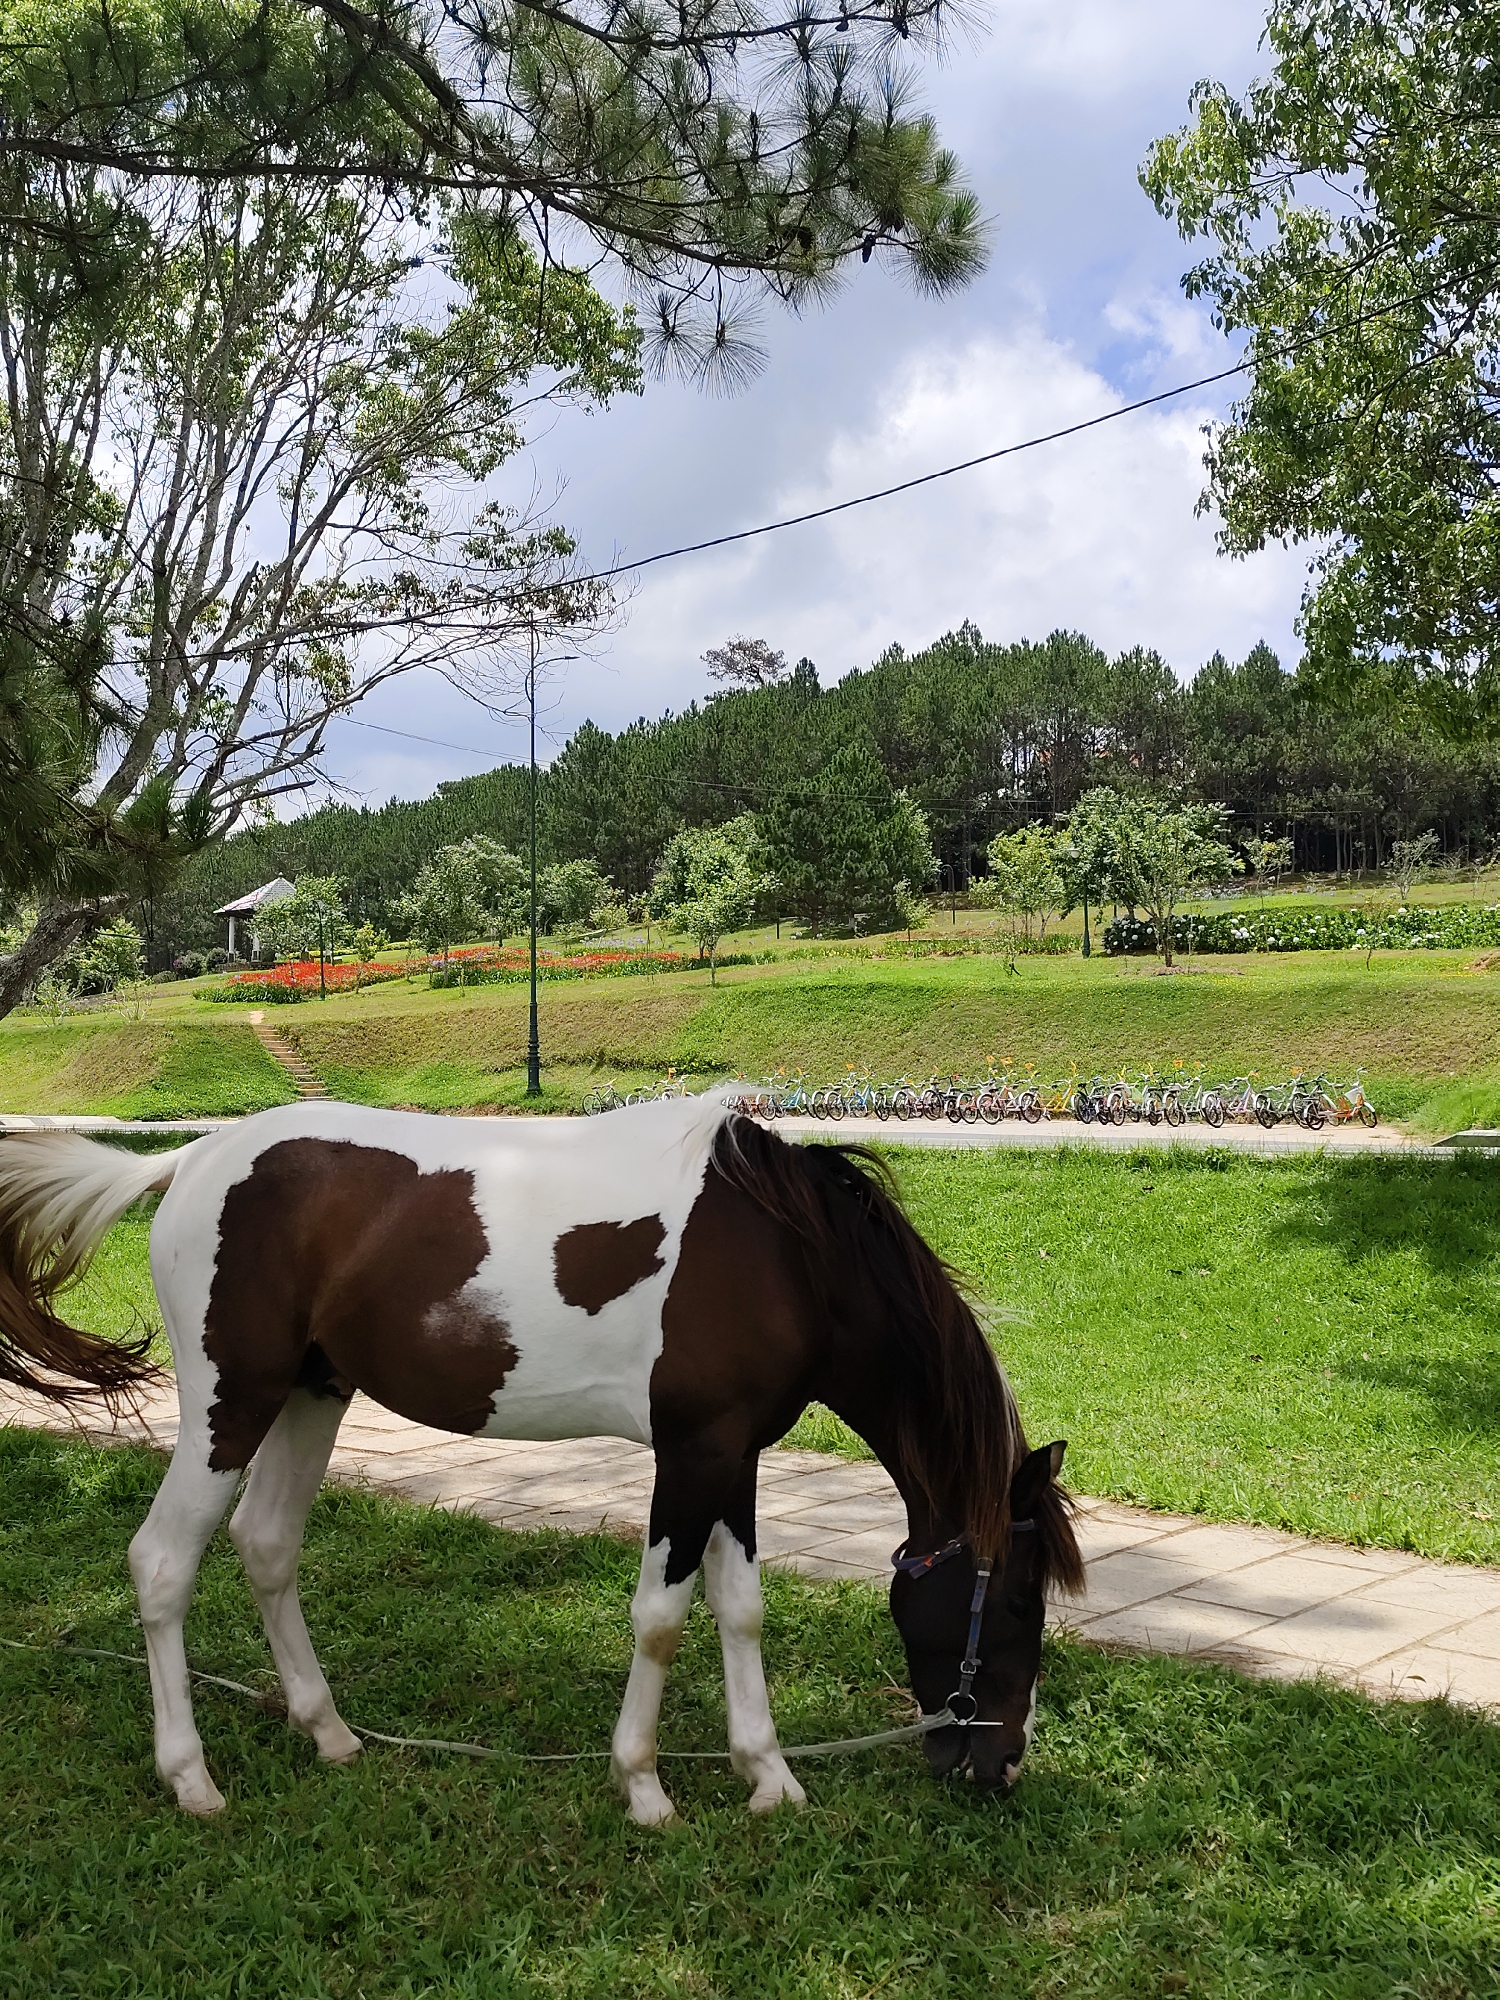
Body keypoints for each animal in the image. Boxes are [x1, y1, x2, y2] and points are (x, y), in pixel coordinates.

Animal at [0, 1092, 1083, 1823]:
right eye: (1016, 1604)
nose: (1002, 1763)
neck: (790, 1258)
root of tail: (190, 1160)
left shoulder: (732, 1456)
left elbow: (740, 1608)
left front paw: (767, 1775)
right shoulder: (691, 1455)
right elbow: (659, 1618)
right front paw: (643, 1784)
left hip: (311, 1394)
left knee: (267, 1546)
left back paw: (329, 1732)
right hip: (232, 1405)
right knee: (162, 1563)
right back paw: (191, 1777)